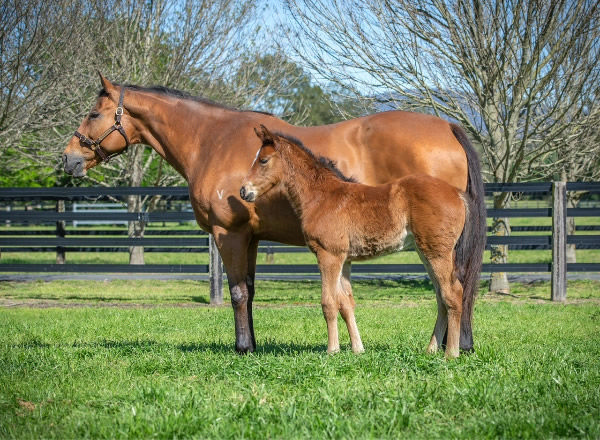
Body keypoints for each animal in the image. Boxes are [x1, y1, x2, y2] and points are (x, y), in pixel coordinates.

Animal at [241, 125, 472, 360]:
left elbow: (329, 302)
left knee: (452, 293)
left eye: (263, 160)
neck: (322, 197)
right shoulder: (345, 260)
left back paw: (451, 353)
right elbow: (346, 303)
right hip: (425, 253)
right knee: (441, 297)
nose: (244, 191)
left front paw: (332, 350)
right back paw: (431, 349)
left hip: (437, 253)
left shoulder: (328, 256)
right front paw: (357, 349)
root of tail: (457, 194)